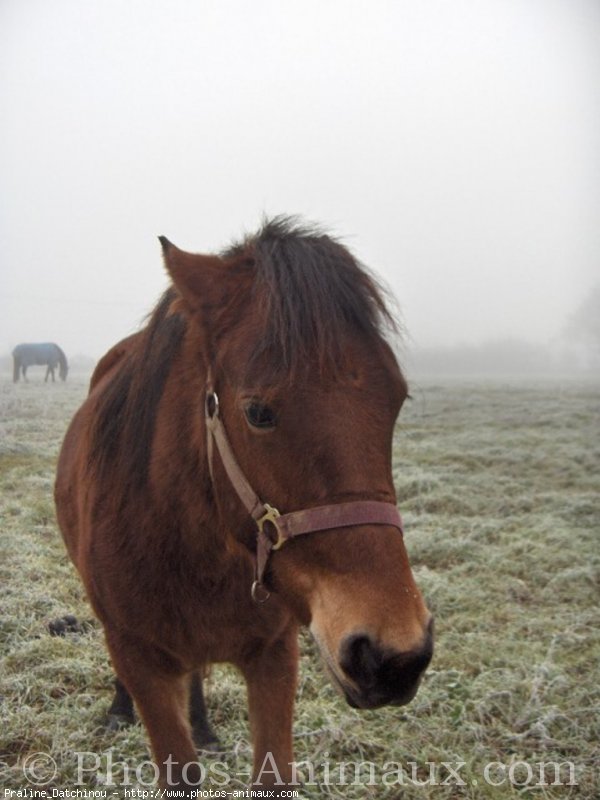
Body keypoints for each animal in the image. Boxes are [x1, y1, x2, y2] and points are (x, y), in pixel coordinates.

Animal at [54, 219, 432, 792]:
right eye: (257, 412)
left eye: (397, 400)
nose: (395, 657)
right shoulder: (141, 658)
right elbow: (177, 769)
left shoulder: (276, 656)